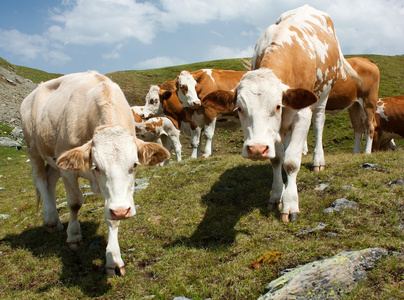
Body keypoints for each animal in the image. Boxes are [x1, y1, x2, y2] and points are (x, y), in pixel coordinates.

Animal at [20, 71, 169, 276]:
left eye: (134, 165)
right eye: (96, 166)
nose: (122, 210)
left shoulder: (113, 196)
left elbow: (112, 218)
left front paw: (114, 260)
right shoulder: (68, 170)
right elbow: (74, 203)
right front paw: (74, 236)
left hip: (54, 158)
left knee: (50, 180)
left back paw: (56, 222)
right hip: (32, 147)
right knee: (40, 179)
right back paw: (50, 219)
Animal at [204, 3, 358, 221]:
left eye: (277, 105)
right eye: (240, 108)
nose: (256, 149)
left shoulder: (302, 113)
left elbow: (291, 162)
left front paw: (291, 204)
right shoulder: (273, 131)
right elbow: (277, 159)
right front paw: (277, 194)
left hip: (323, 95)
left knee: (318, 123)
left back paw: (318, 160)